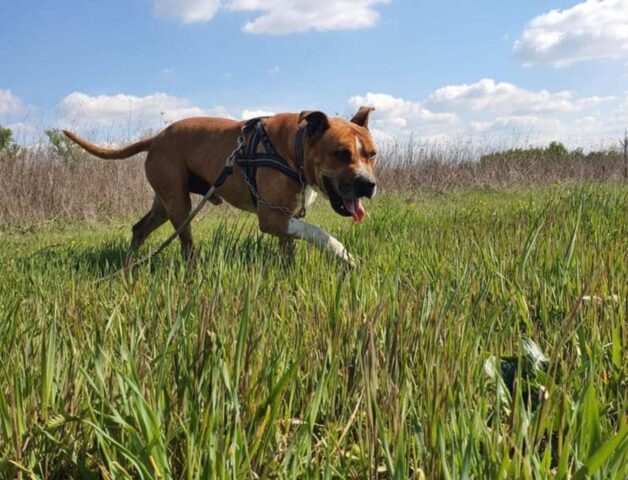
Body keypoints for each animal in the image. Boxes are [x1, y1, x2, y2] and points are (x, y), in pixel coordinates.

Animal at [63, 108, 378, 266]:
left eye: (372, 154)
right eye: (341, 154)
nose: (368, 184)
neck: (294, 148)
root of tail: (156, 138)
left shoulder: (285, 217)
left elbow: (290, 245)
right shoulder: (271, 217)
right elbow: (320, 232)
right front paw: (345, 256)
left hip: (163, 203)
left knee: (139, 228)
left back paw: (130, 262)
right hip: (179, 204)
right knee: (186, 244)